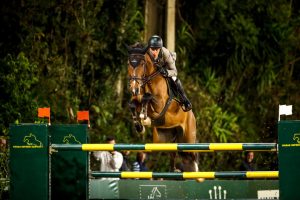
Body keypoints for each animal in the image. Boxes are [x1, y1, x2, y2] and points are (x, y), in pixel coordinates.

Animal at [127, 42, 199, 172]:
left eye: (142, 63)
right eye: (129, 63)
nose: (134, 89)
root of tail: (192, 116)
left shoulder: (160, 105)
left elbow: (147, 97)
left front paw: (144, 117)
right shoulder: (136, 99)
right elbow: (132, 104)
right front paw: (139, 125)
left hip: (188, 140)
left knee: (192, 158)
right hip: (164, 140)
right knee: (171, 155)